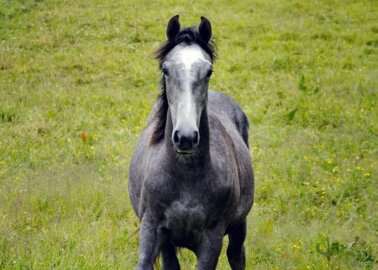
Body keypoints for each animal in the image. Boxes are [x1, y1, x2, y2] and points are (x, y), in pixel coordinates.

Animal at [127, 15, 254, 270]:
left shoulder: (211, 241)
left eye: (209, 70)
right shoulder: (151, 228)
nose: (185, 137)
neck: (185, 177)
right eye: (166, 69)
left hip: (239, 227)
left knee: (237, 255)